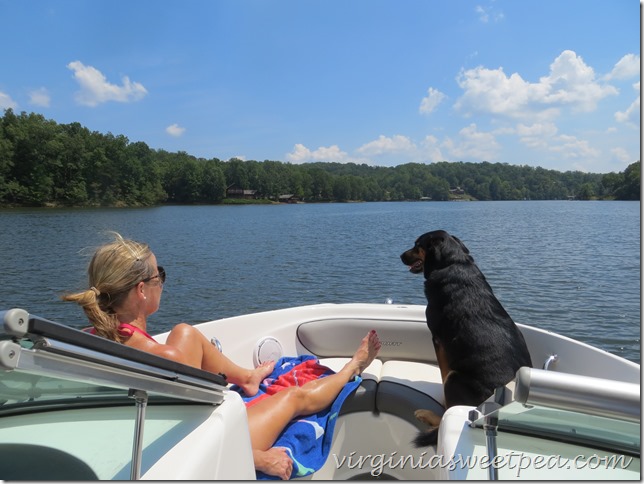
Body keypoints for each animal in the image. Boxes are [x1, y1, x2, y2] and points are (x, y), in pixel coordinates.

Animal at [400, 231, 532, 446]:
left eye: (417, 244)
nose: (401, 256)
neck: (453, 262)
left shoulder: (438, 341)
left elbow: (443, 373)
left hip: (457, 378)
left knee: (445, 413)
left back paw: (427, 415)